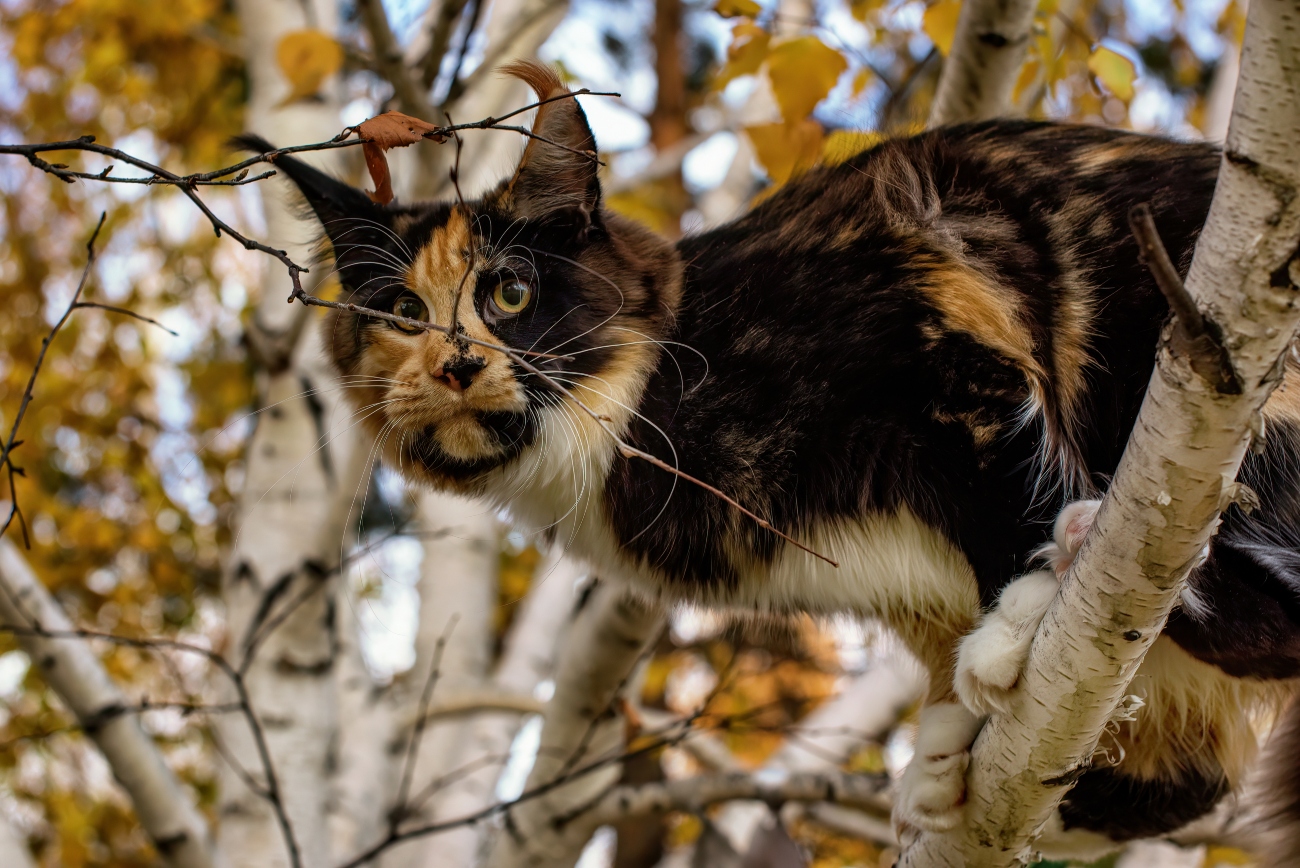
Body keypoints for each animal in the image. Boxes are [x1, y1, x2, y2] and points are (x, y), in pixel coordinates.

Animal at [248, 62, 1300, 862]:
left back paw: (1087, 549)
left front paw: (1018, 626)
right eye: (400, 314)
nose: (457, 362)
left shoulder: (933, 314)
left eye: (509, 293)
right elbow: (1179, 773)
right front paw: (956, 757)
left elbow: (1013, 495)